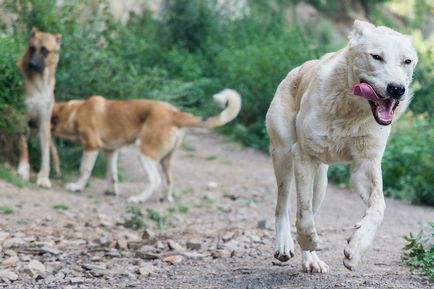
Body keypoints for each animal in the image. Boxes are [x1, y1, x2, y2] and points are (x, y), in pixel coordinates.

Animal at [17, 27, 62, 187]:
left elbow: (46, 155)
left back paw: (57, 172)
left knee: (53, 150)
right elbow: (23, 146)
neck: (39, 84)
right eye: (32, 48)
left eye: (44, 51)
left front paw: (44, 178)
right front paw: (23, 170)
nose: (32, 64)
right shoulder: (22, 117)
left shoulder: (44, 122)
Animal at [51, 90, 241, 202]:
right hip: (165, 160)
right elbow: (112, 174)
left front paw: (77, 187)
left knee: (155, 180)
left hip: (144, 154)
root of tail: (175, 113)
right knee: (169, 180)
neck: (74, 111)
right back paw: (166, 199)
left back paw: (139, 198)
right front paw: (112, 191)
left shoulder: (92, 146)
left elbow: (84, 170)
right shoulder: (111, 151)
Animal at [264, 20, 418, 272]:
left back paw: (311, 260)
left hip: (321, 183)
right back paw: (285, 246)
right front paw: (309, 239)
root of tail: (295, 71)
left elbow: (379, 207)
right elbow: (303, 214)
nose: (397, 88)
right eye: (376, 57)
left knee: (310, 207)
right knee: (283, 205)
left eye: (407, 61)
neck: (351, 112)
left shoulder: (365, 166)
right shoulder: (304, 156)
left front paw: (355, 249)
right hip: (284, 157)